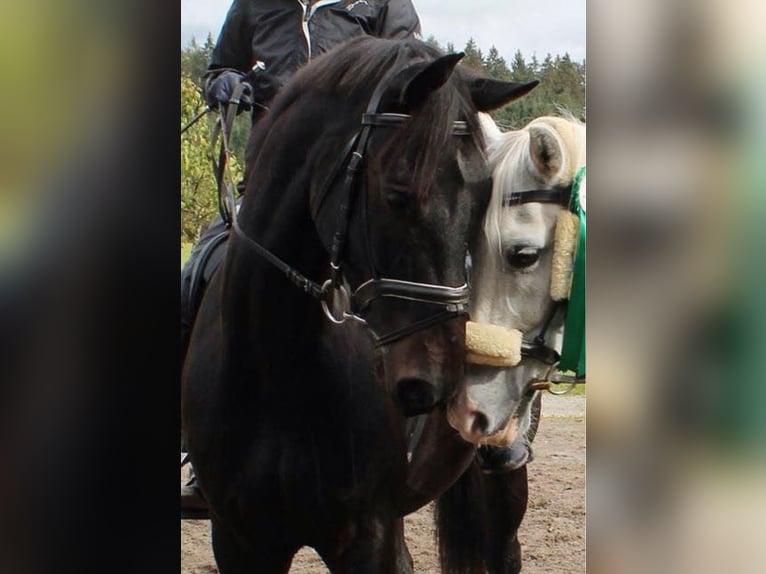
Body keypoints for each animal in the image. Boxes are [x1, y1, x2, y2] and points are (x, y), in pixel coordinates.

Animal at [183, 38, 536, 572]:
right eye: (396, 194)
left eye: (483, 199)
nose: (439, 381)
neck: (277, 368)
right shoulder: (240, 542)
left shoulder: (365, 537)